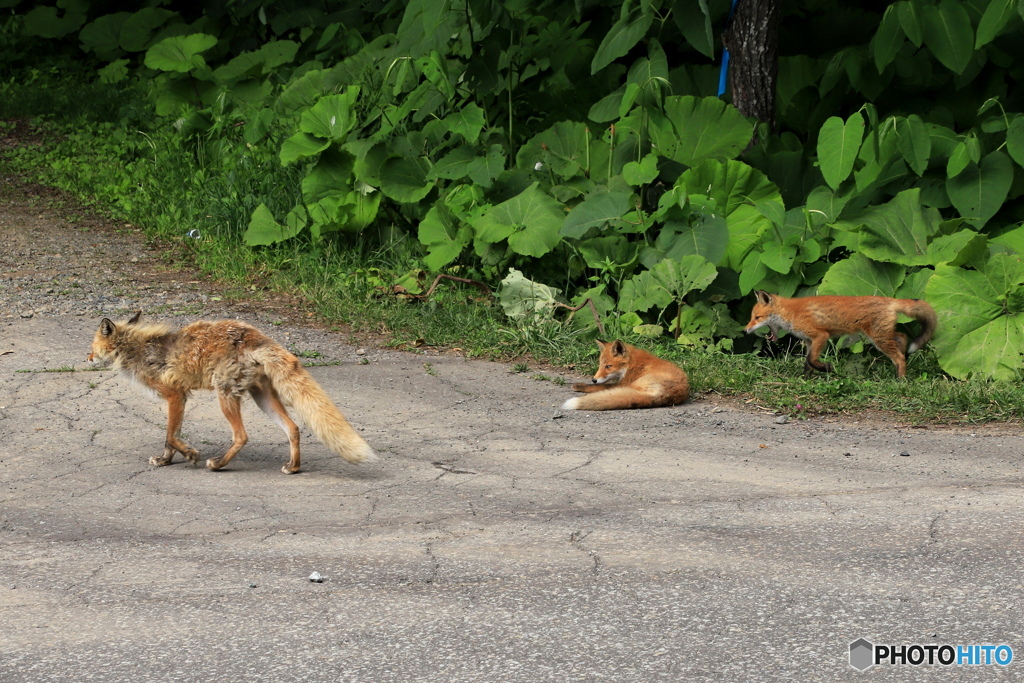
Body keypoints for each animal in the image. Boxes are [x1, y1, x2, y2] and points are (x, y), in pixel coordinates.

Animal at [88, 313, 376, 473]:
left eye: (92, 346)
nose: (87, 358)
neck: (137, 349)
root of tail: (253, 335)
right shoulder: (178, 399)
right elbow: (170, 439)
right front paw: (165, 461)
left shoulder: (175, 396)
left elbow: (171, 436)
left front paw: (188, 455)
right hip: (261, 397)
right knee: (293, 428)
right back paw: (293, 467)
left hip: (225, 395)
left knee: (242, 436)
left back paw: (218, 465)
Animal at [745, 290, 937, 378]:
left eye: (757, 317)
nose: (745, 330)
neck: (790, 313)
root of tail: (890, 300)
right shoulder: (809, 341)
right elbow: (808, 362)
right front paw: (805, 378)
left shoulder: (820, 335)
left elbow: (811, 360)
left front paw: (826, 368)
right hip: (882, 335)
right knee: (902, 338)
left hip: (878, 338)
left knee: (899, 356)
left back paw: (901, 379)